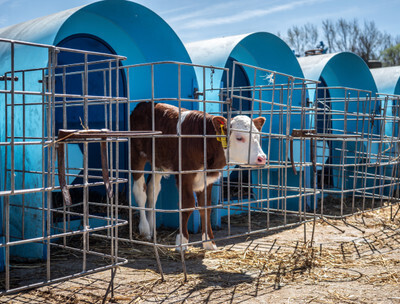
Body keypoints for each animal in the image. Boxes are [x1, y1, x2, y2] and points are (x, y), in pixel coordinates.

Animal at [130, 102, 266, 249]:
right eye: (239, 138)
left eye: (258, 137)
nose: (262, 158)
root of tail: (144, 104)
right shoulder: (185, 175)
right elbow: (187, 205)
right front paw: (182, 242)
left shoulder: (207, 178)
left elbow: (205, 206)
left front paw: (209, 242)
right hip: (136, 154)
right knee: (140, 192)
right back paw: (144, 229)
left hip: (158, 162)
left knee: (152, 191)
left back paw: (151, 227)